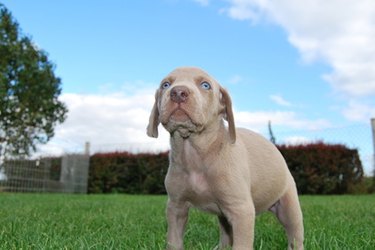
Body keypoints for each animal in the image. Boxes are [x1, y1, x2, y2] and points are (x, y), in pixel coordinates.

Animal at [148, 67, 306, 250]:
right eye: (165, 85)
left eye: (205, 85)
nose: (178, 93)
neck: (194, 152)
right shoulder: (176, 207)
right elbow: (174, 241)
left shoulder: (242, 211)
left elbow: (241, 245)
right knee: (225, 232)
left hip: (289, 205)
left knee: (295, 235)